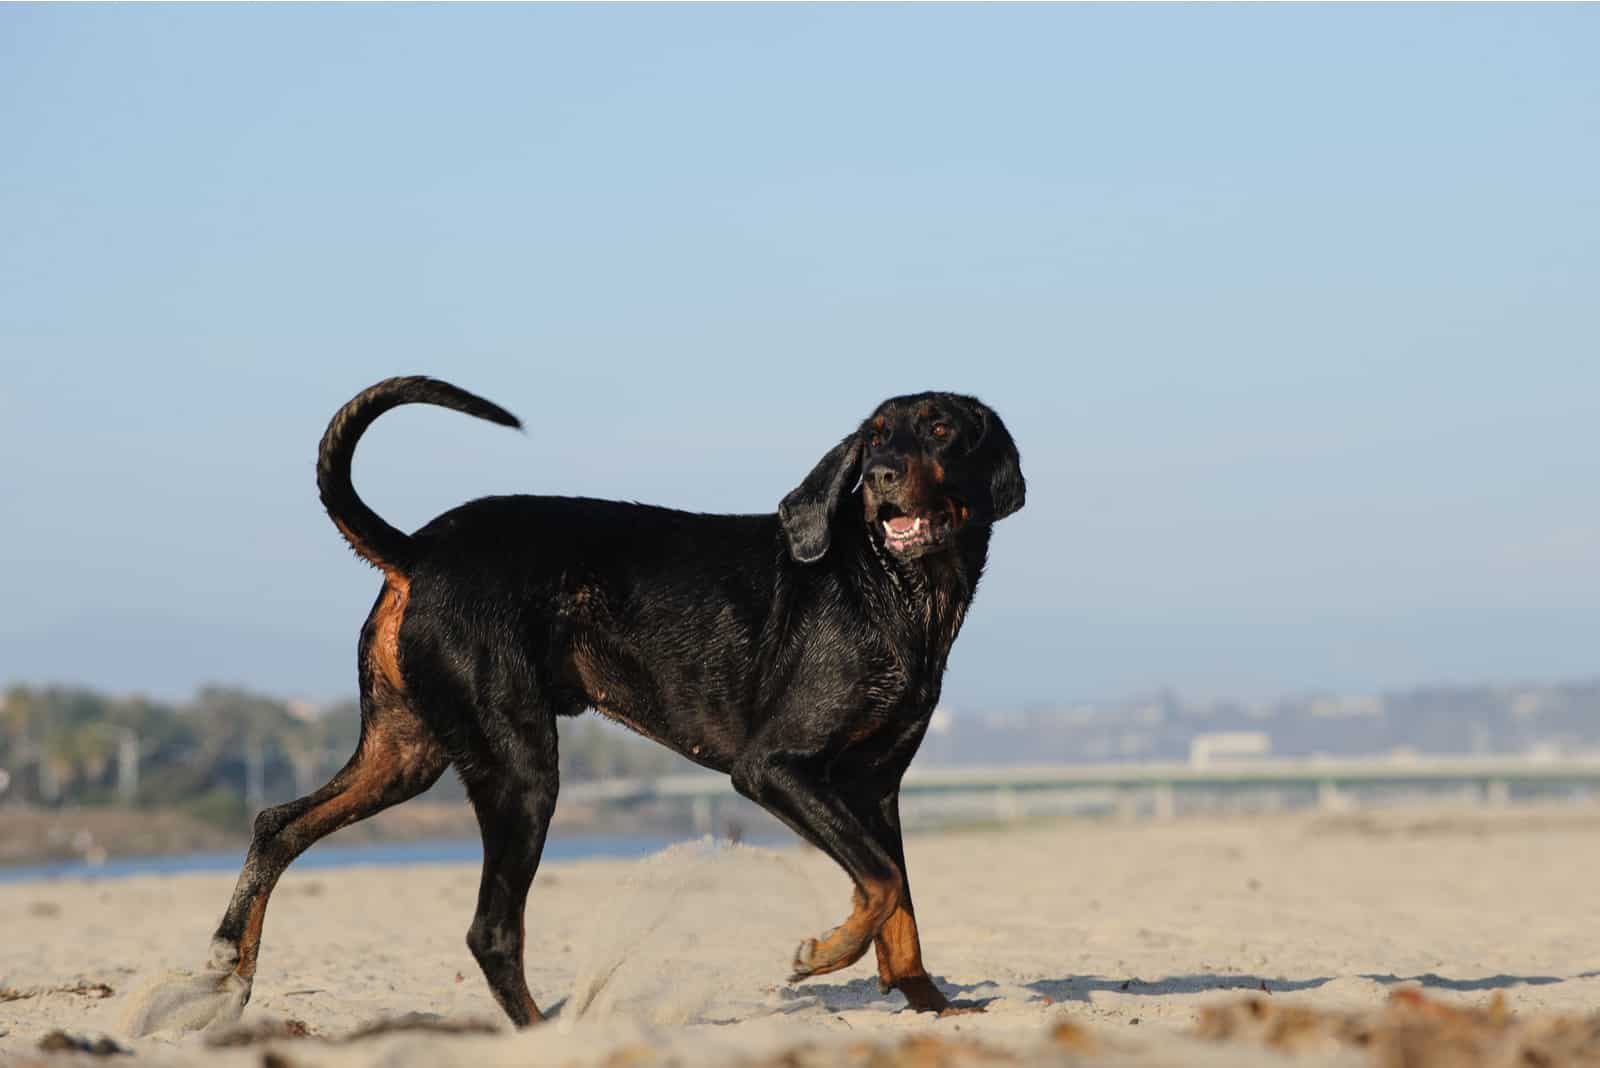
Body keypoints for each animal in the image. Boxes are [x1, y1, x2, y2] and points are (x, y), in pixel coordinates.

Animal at [200, 375, 1024, 1023]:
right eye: (875, 436)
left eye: (940, 428)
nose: (880, 475)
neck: (897, 588)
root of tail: (419, 549)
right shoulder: (775, 768)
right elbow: (880, 883)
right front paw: (824, 952)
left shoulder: (877, 787)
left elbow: (900, 900)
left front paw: (931, 1004)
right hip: (520, 770)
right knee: (490, 931)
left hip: (405, 754)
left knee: (278, 825)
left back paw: (226, 974)